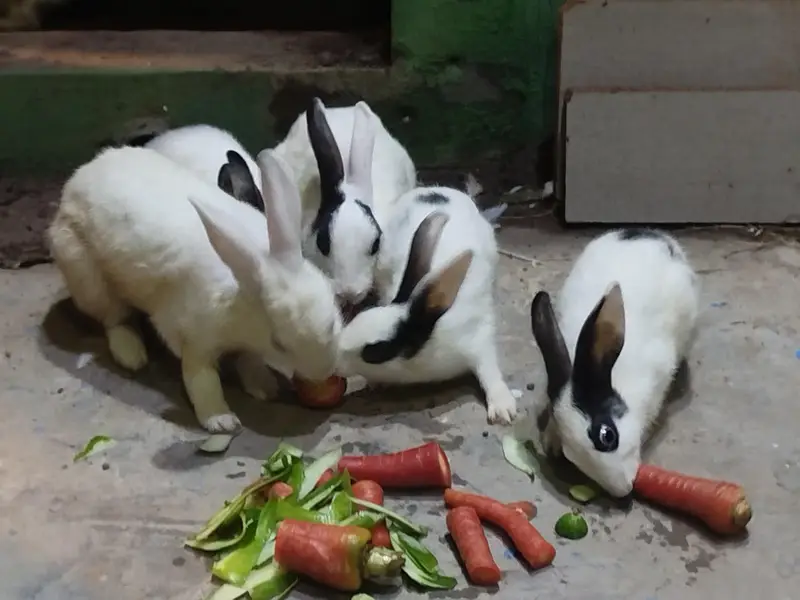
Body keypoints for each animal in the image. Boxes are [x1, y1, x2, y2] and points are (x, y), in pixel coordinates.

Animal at [47, 144, 342, 433]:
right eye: (279, 343)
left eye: (331, 323)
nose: (323, 373)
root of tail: (75, 181)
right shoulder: (191, 336)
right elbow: (201, 378)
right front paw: (220, 420)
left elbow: (249, 361)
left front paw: (264, 387)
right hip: (87, 277)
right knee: (114, 320)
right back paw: (132, 355)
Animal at [335, 186, 519, 425]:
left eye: (376, 350)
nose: (335, 363)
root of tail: (435, 189)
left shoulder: (478, 340)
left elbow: (489, 371)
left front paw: (503, 409)